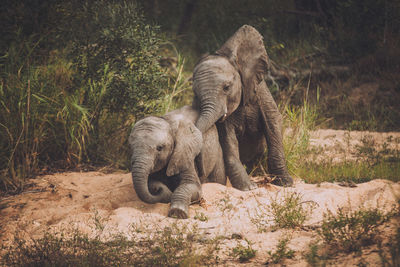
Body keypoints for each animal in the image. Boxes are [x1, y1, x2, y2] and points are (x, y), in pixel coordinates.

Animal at [192, 24, 292, 188]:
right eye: (196, 93)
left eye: (226, 87)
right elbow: (228, 140)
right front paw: (249, 187)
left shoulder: (260, 91)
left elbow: (273, 122)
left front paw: (285, 183)